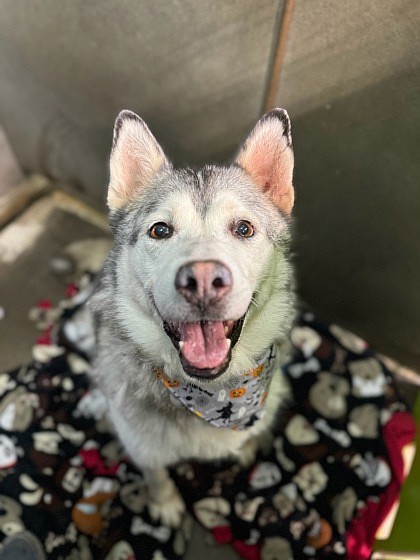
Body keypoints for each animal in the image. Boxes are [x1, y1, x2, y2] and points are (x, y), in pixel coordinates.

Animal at [89, 108, 296, 527]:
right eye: (160, 230)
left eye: (244, 228)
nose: (202, 280)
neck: (215, 396)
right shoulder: (141, 442)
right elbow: (156, 473)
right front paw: (166, 504)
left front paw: (246, 447)